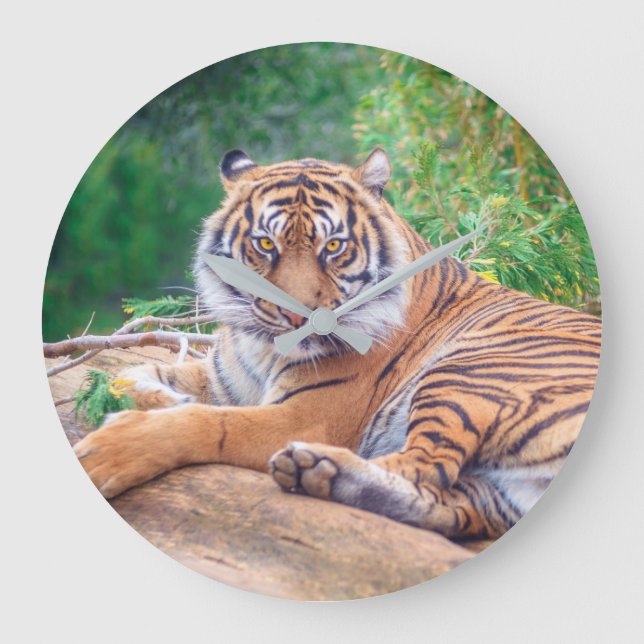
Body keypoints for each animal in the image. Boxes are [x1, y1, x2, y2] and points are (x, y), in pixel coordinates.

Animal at [73, 148, 601, 540]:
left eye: (333, 247)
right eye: (266, 245)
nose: (295, 315)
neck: (264, 348)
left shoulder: (306, 415)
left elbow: (209, 423)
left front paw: (110, 451)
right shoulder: (222, 379)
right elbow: (128, 375)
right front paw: (156, 396)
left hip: (470, 374)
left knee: (426, 465)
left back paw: (320, 463)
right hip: (497, 486)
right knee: (449, 504)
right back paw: (320, 473)